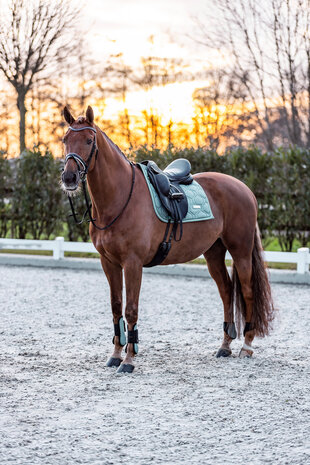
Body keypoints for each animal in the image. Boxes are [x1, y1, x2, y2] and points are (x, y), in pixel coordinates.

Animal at [61, 106, 274, 374]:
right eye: (65, 140)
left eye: (89, 140)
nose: (69, 178)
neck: (120, 198)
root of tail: (245, 189)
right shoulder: (108, 263)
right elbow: (116, 307)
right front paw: (115, 355)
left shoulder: (133, 264)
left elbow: (130, 310)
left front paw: (129, 360)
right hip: (214, 252)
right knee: (226, 291)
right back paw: (225, 346)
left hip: (241, 251)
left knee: (246, 292)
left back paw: (246, 346)